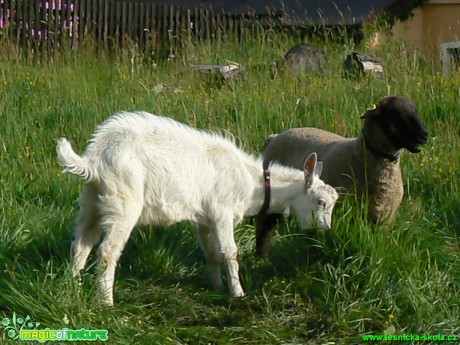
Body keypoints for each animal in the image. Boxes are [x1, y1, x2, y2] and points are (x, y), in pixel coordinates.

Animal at [56, 111, 338, 306]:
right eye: (321, 202)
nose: (325, 229)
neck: (251, 183)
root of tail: (93, 159)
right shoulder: (222, 213)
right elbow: (230, 252)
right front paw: (237, 292)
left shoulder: (205, 219)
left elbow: (212, 252)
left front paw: (216, 285)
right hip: (123, 202)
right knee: (107, 250)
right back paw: (106, 301)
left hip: (92, 201)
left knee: (80, 244)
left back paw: (72, 287)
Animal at [256, 95, 430, 256]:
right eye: (395, 114)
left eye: (415, 110)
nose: (424, 135)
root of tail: (276, 136)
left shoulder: (385, 218)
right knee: (264, 229)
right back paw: (262, 257)